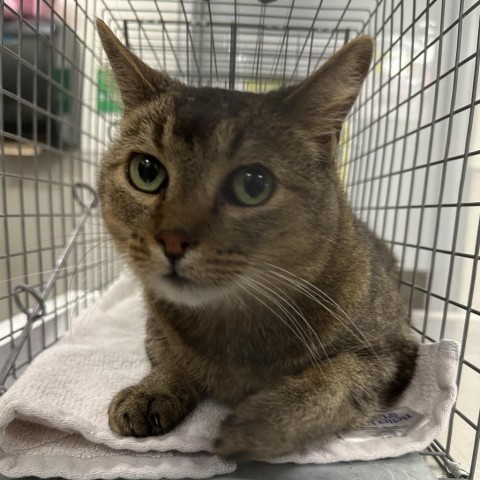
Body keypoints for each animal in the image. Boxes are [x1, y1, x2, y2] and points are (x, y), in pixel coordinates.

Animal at [95, 18, 418, 460]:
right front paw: (151, 391)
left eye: (252, 184)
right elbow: (167, 354)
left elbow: (336, 379)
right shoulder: (154, 323)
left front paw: (258, 424)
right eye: (146, 171)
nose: (172, 239)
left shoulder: (392, 354)